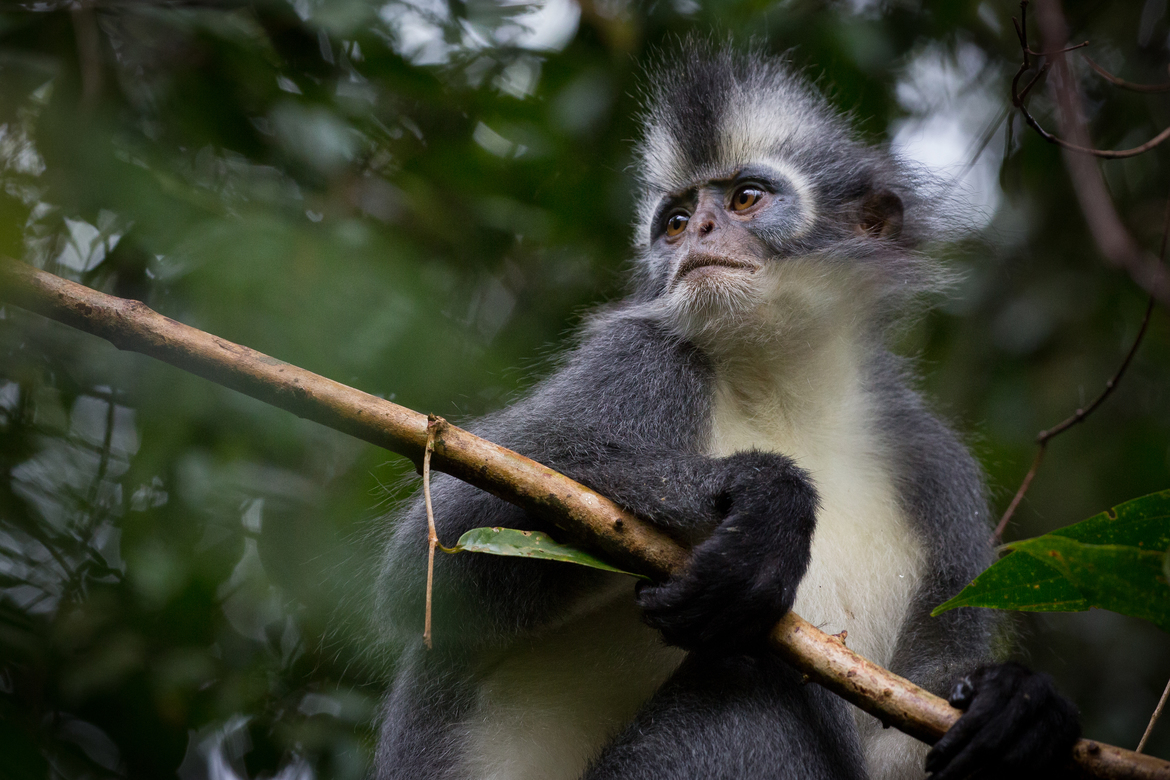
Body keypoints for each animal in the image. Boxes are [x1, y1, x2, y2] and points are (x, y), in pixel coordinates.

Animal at [373, 43, 1081, 780]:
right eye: (678, 222)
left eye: (745, 198)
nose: (701, 231)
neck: (782, 391)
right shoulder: (643, 359)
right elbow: (434, 554)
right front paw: (763, 502)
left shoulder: (933, 461)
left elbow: (911, 724)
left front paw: (1020, 698)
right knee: (750, 678)